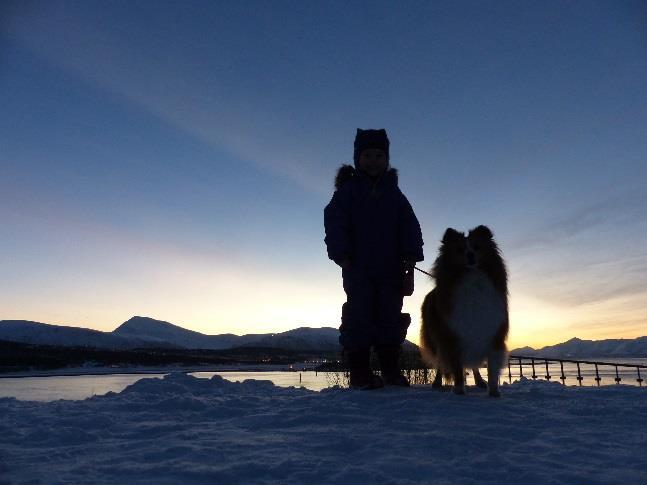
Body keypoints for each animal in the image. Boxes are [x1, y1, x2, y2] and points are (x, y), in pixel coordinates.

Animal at [420, 225, 512, 396]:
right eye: (459, 250)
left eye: (477, 247)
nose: (470, 255)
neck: (472, 278)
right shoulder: (452, 336)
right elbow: (456, 368)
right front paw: (459, 390)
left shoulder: (492, 334)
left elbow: (492, 369)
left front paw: (494, 392)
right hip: (435, 339)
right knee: (440, 363)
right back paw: (437, 383)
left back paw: (479, 381)